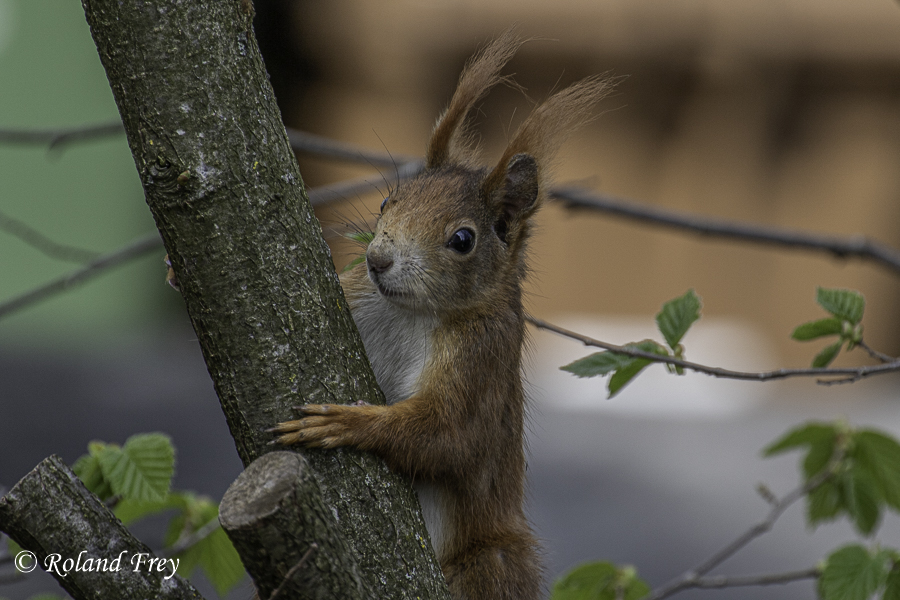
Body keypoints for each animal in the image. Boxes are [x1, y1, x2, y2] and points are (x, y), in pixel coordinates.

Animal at [270, 32, 616, 600]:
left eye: (462, 240)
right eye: (388, 200)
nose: (378, 259)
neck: (412, 311)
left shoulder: (483, 356)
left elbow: (448, 435)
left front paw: (348, 422)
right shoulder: (357, 294)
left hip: (489, 561)